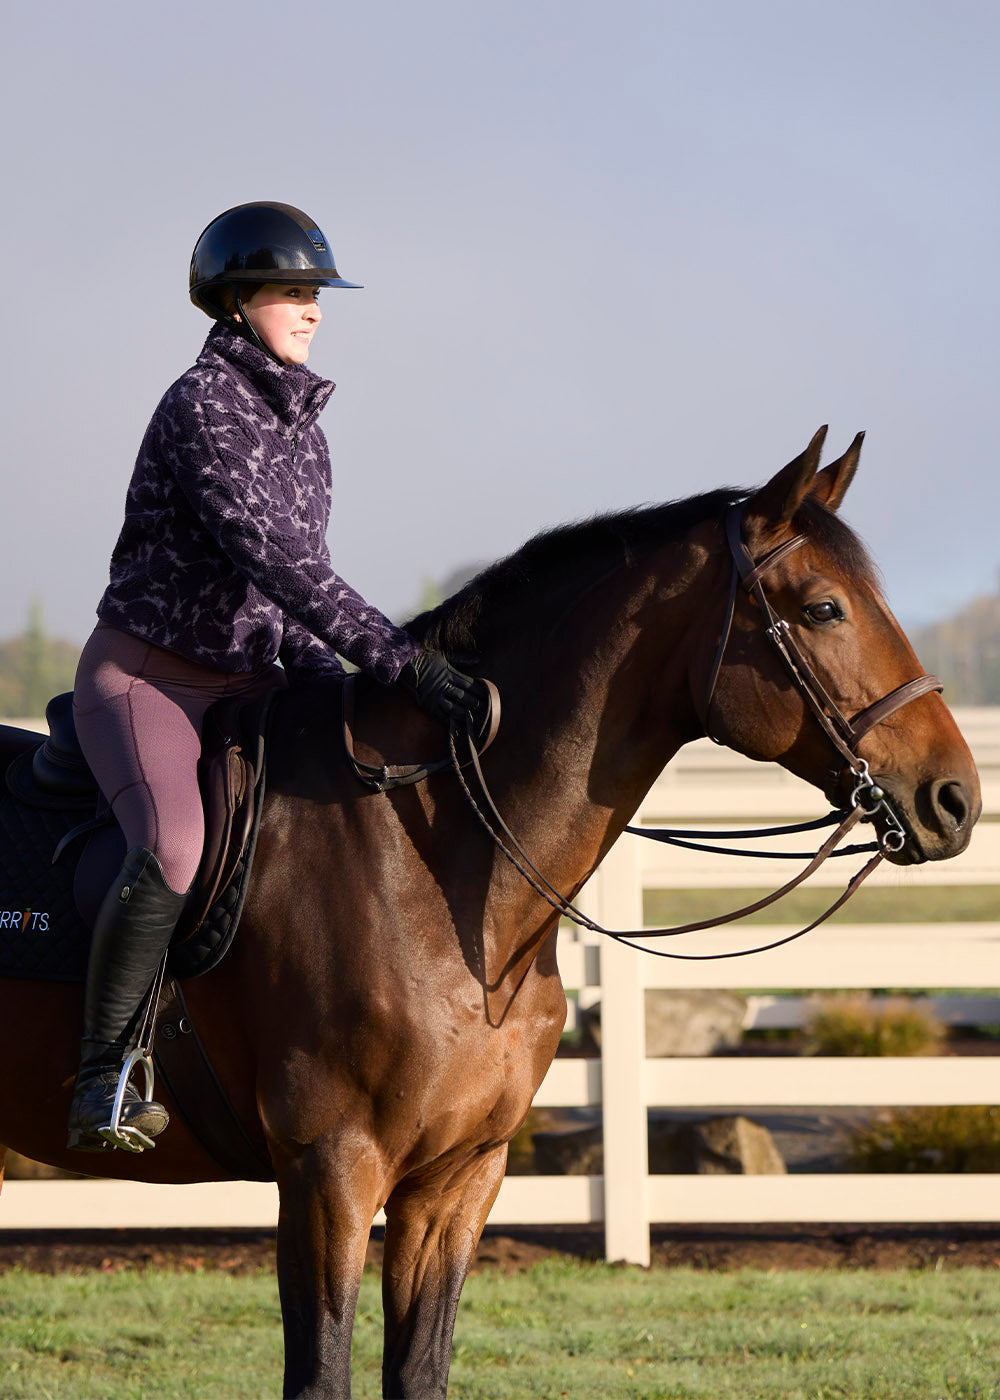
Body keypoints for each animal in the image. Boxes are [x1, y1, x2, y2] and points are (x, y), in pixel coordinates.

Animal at [0, 427, 981, 1398]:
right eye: (824, 608)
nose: (954, 800)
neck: (437, 872)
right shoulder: (329, 1173)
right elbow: (322, 1374)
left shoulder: (459, 1179)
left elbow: (420, 1368)